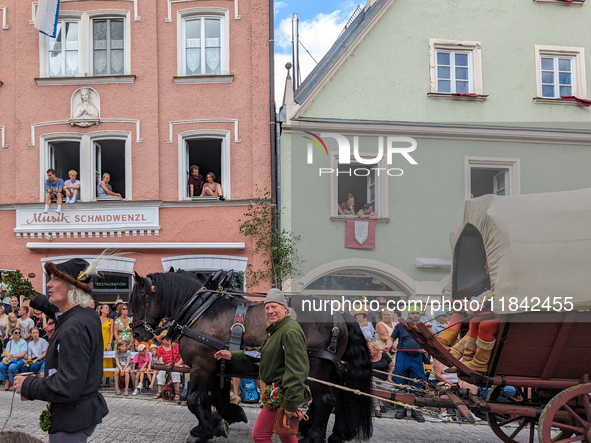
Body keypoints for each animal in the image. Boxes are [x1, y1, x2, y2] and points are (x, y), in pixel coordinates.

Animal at [130, 270, 372, 443]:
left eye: (136, 299)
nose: (136, 333)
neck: (199, 310)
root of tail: (337, 312)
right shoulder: (215, 366)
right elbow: (211, 397)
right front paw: (217, 422)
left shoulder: (202, 366)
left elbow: (192, 400)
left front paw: (211, 426)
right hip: (330, 370)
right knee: (338, 398)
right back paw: (331, 433)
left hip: (316, 369)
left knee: (325, 401)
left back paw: (314, 436)